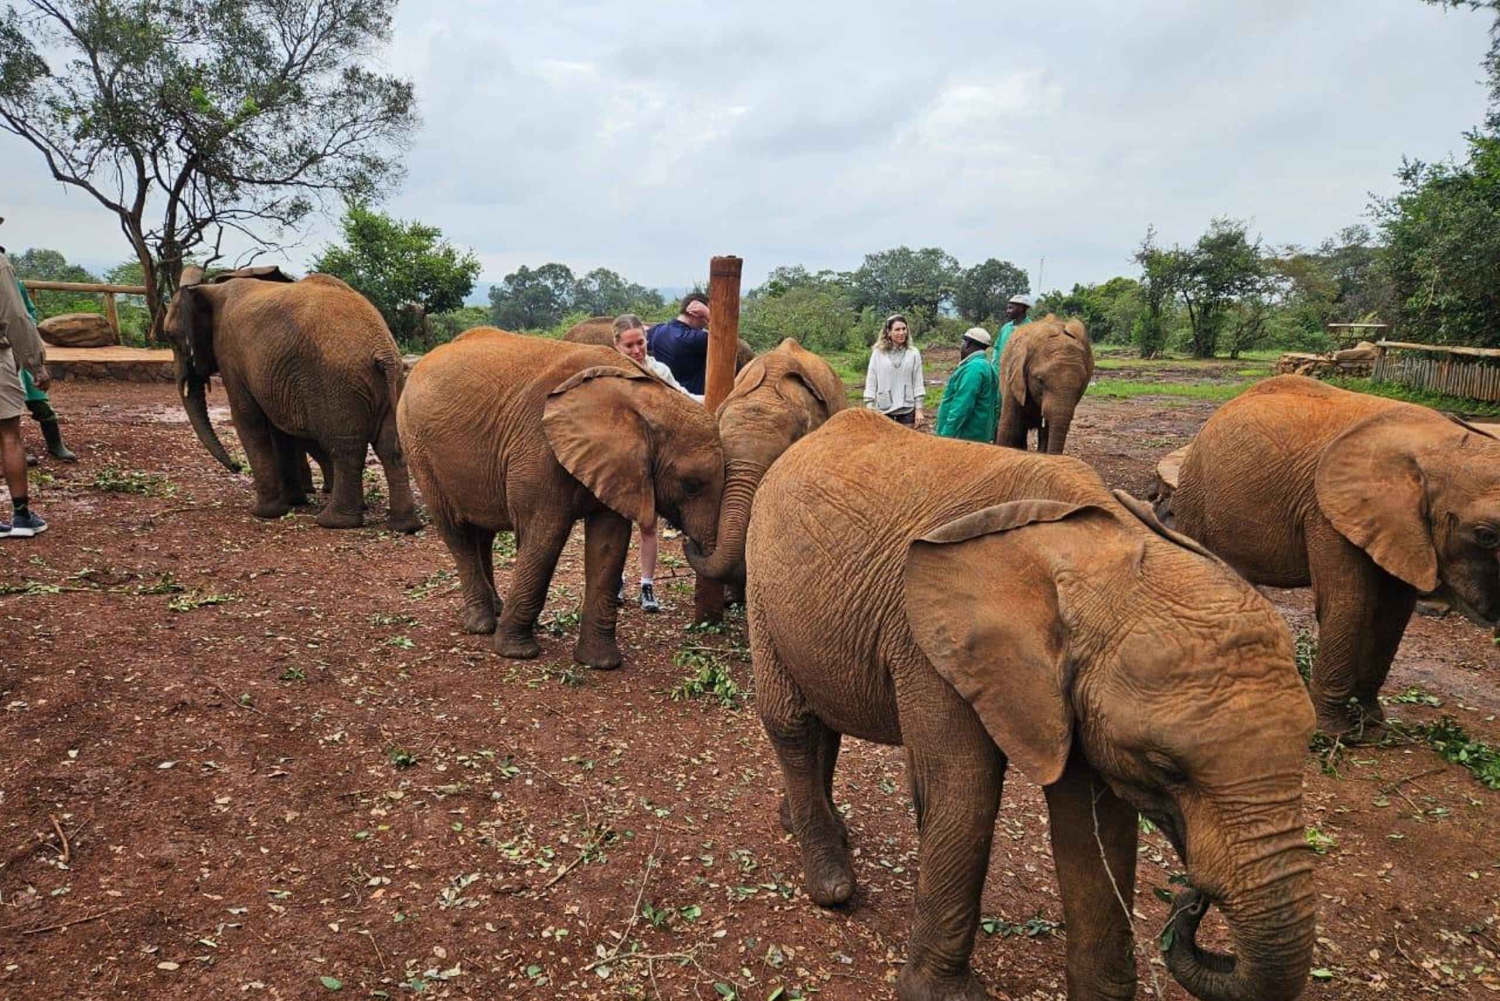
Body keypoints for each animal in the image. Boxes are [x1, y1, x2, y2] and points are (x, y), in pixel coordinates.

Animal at [163, 269, 419, 532]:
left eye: (171, 337)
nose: (235, 467)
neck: (209, 289)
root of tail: (383, 351)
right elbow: (278, 429)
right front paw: (294, 502)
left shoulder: (231, 356)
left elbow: (248, 420)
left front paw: (265, 513)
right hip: (389, 383)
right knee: (390, 449)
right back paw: (404, 526)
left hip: (337, 385)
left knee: (346, 449)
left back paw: (333, 522)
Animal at [397, 328, 725, 669]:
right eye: (691, 485)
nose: (686, 539)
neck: (642, 396)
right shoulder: (539, 447)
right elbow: (546, 536)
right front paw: (516, 653)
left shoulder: (617, 465)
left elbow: (609, 542)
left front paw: (600, 663)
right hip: (417, 447)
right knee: (456, 531)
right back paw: (481, 624)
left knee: (483, 532)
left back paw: (497, 609)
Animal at [746, 408, 1317, 1001]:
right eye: (1167, 768)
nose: (1192, 900)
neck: (1095, 550)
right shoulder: (930, 643)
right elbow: (964, 792)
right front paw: (943, 995)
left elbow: (1094, 829)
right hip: (761, 577)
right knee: (792, 722)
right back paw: (831, 883)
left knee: (824, 718)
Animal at [1173, 374, 1500, 737]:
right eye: (1486, 535)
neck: (1440, 445)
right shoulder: (1327, 512)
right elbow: (1349, 604)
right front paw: (1332, 733)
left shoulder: (1403, 528)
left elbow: (1393, 611)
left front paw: (1371, 726)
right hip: (1194, 491)